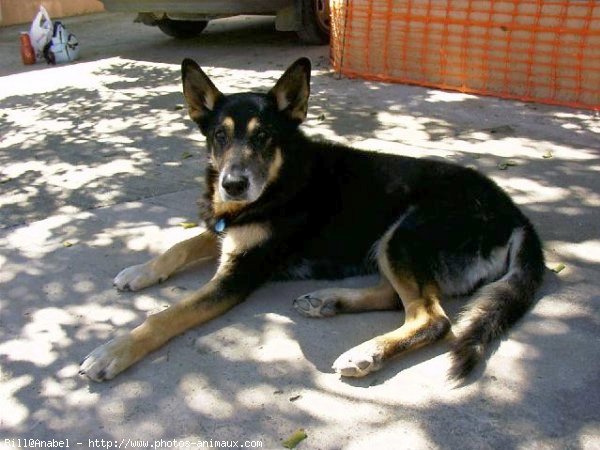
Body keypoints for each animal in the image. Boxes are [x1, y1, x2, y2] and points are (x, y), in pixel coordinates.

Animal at [78, 57, 544, 384]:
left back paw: (366, 352)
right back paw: (329, 301)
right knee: (404, 300)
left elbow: (167, 314)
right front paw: (140, 271)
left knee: (432, 318)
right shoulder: (227, 229)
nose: (233, 185)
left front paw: (112, 351)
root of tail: (515, 214)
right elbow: (180, 244)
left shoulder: (238, 274)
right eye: (219, 136)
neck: (281, 179)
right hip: (392, 246)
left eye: (264, 137)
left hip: (404, 234)